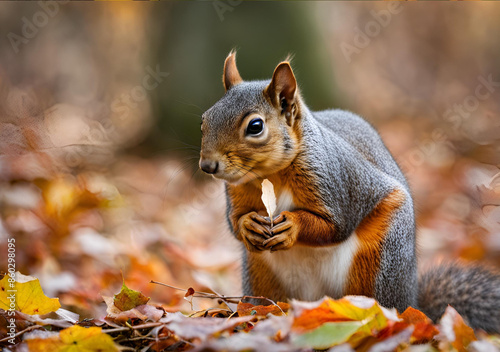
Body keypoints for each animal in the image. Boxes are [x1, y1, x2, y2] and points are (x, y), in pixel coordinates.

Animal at [198, 50, 500, 332]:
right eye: (204, 120)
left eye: (255, 126)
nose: (207, 165)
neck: (271, 176)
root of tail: (412, 303)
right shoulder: (237, 193)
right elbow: (234, 222)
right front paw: (248, 224)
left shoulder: (338, 182)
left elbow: (336, 225)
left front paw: (294, 225)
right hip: (260, 273)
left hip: (378, 265)